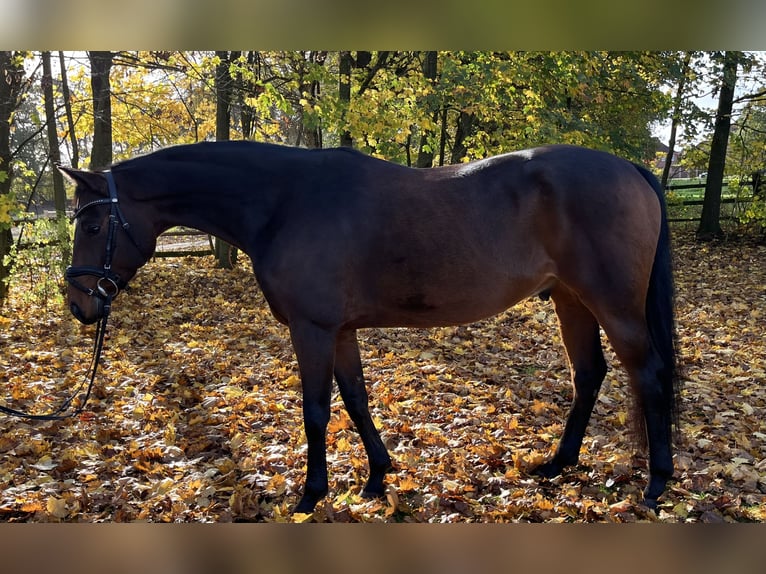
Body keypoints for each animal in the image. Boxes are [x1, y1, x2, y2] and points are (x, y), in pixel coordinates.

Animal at [63, 142, 680, 516]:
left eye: (92, 225)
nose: (78, 303)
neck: (284, 202)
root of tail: (630, 168)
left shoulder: (311, 329)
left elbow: (316, 410)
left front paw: (311, 495)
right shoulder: (339, 330)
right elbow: (356, 399)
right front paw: (378, 477)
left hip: (613, 305)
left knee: (648, 375)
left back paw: (656, 484)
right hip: (571, 301)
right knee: (589, 374)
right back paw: (558, 464)